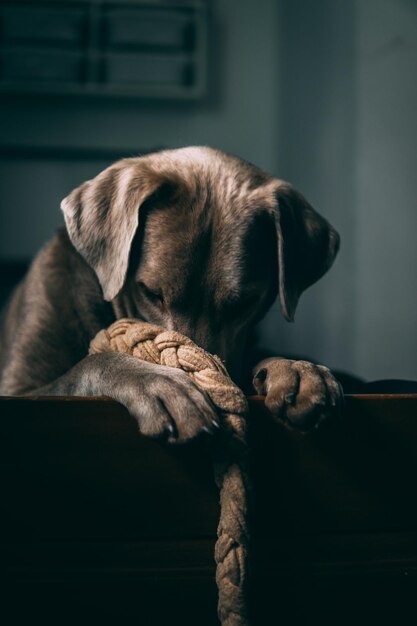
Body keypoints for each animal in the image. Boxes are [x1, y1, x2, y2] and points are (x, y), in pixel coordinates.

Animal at [0, 146, 342, 438]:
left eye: (244, 303)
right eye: (152, 294)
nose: (212, 386)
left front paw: (296, 368)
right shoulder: (20, 391)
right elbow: (83, 369)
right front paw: (154, 381)